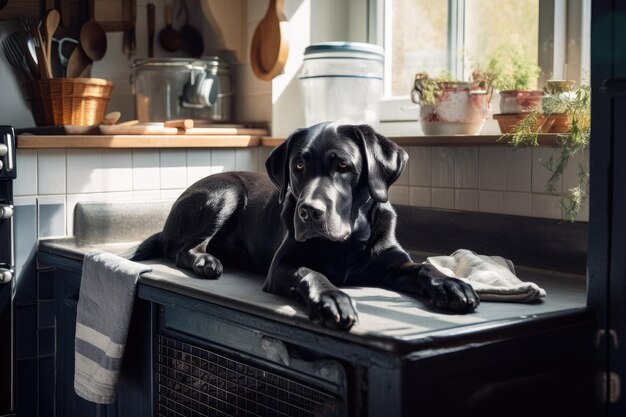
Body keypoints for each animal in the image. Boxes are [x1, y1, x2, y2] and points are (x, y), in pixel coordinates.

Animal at [129, 122, 476, 330]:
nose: (309, 211)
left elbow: (423, 267)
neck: (347, 243)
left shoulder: (391, 263)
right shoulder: (283, 264)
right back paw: (205, 261)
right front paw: (333, 299)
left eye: (343, 165)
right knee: (182, 249)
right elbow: (312, 272)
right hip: (225, 192)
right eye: (298, 166)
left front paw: (451, 285)